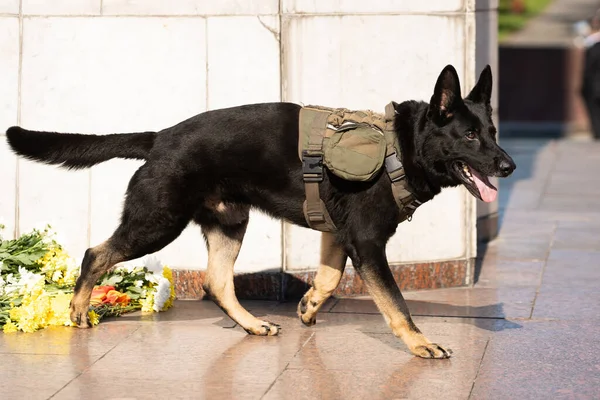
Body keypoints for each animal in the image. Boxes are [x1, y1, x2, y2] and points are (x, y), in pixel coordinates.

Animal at [5, 65, 516, 360]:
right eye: (470, 136)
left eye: (492, 132)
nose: (508, 166)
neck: (405, 146)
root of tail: (159, 137)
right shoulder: (367, 243)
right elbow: (396, 304)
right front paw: (420, 342)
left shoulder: (338, 234)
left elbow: (329, 278)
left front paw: (308, 306)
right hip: (157, 223)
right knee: (96, 253)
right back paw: (77, 310)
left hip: (230, 223)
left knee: (216, 282)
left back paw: (252, 324)